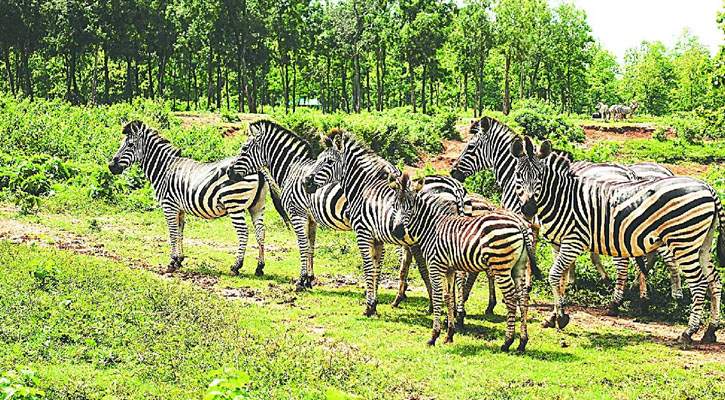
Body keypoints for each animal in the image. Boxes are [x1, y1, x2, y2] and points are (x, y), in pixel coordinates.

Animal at [107, 119, 286, 276]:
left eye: (130, 145)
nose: (111, 166)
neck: (164, 169)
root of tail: (259, 169)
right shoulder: (179, 208)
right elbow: (180, 232)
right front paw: (179, 260)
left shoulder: (169, 206)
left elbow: (172, 233)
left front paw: (171, 263)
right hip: (257, 206)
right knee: (260, 232)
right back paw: (259, 267)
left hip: (234, 204)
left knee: (243, 233)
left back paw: (236, 266)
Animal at [388, 173, 536, 352]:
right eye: (394, 205)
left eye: (410, 206)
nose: (398, 231)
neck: (430, 227)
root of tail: (521, 224)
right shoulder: (449, 268)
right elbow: (448, 297)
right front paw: (449, 334)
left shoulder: (436, 265)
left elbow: (437, 296)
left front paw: (433, 336)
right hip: (518, 266)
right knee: (524, 298)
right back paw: (522, 342)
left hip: (501, 265)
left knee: (511, 298)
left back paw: (507, 342)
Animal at [450, 115, 680, 310]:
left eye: (470, 147)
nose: (453, 172)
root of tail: (629, 173)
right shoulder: (540, 223)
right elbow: (544, 252)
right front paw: (563, 283)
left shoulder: (523, 217)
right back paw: (642, 294)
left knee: (652, 257)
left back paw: (662, 295)